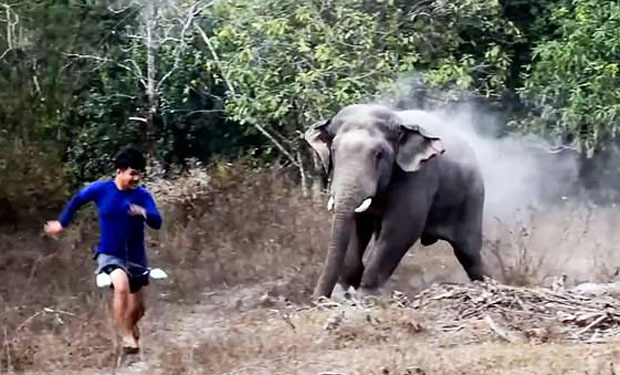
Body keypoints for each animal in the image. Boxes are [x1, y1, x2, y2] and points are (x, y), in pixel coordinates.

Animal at [306, 104, 490, 298]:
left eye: (379, 154)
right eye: (333, 150)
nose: (318, 298)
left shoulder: (418, 176)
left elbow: (402, 227)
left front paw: (366, 295)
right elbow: (357, 226)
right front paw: (344, 293)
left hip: (472, 198)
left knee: (469, 252)